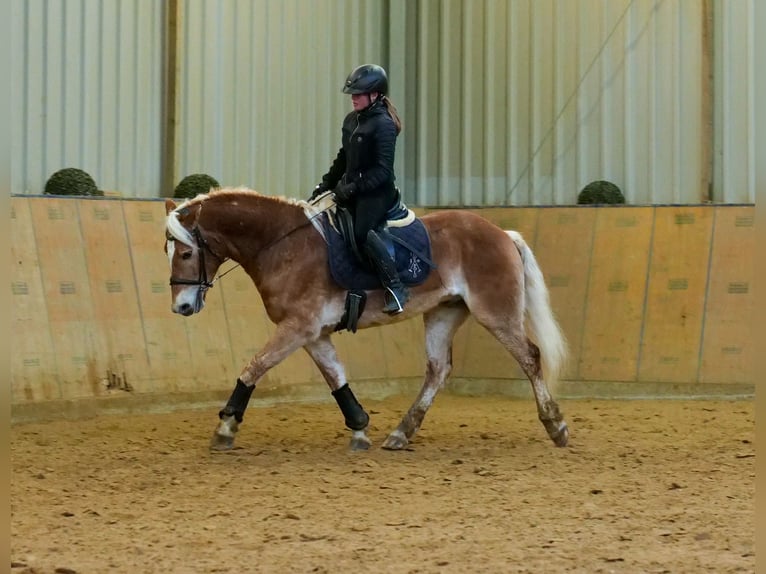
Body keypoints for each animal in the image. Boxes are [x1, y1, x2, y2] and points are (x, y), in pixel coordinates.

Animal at [164, 189, 568, 454]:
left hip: (495, 313)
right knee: (438, 369)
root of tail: (502, 233)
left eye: (185, 253)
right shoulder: (313, 333)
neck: (283, 246)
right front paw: (359, 428)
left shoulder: (298, 327)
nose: (181, 307)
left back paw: (556, 425)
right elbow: (336, 377)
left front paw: (226, 426)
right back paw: (401, 433)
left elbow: (254, 367)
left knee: (530, 356)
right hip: (444, 311)